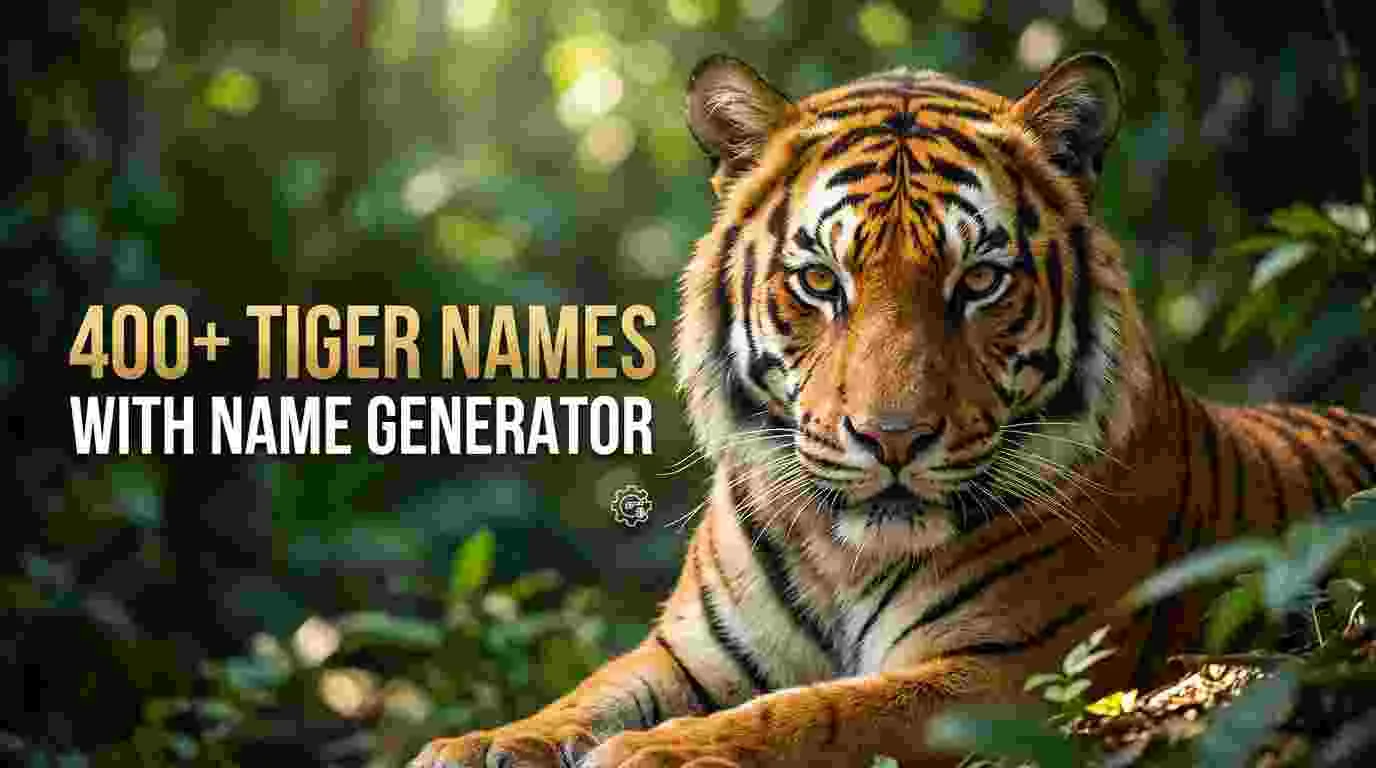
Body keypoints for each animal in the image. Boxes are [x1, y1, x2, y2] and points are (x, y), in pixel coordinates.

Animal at [412, 53, 1376, 768]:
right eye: (819, 281)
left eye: (979, 282)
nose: (893, 439)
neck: (841, 553)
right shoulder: (687, 653)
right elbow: (590, 693)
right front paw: (481, 743)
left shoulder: (1001, 675)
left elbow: (813, 714)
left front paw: (660, 753)